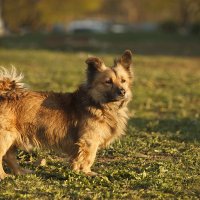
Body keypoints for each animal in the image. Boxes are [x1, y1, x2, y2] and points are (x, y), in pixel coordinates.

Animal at [0, 49, 134, 179]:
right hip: (6, 136)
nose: (122, 91)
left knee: (9, 156)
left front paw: (76, 171)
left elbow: (77, 159)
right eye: (108, 82)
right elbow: (88, 158)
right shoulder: (89, 141)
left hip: (13, 138)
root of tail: (4, 95)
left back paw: (21, 172)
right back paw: (3, 176)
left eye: (123, 81)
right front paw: (87, 172)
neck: (100, 104)